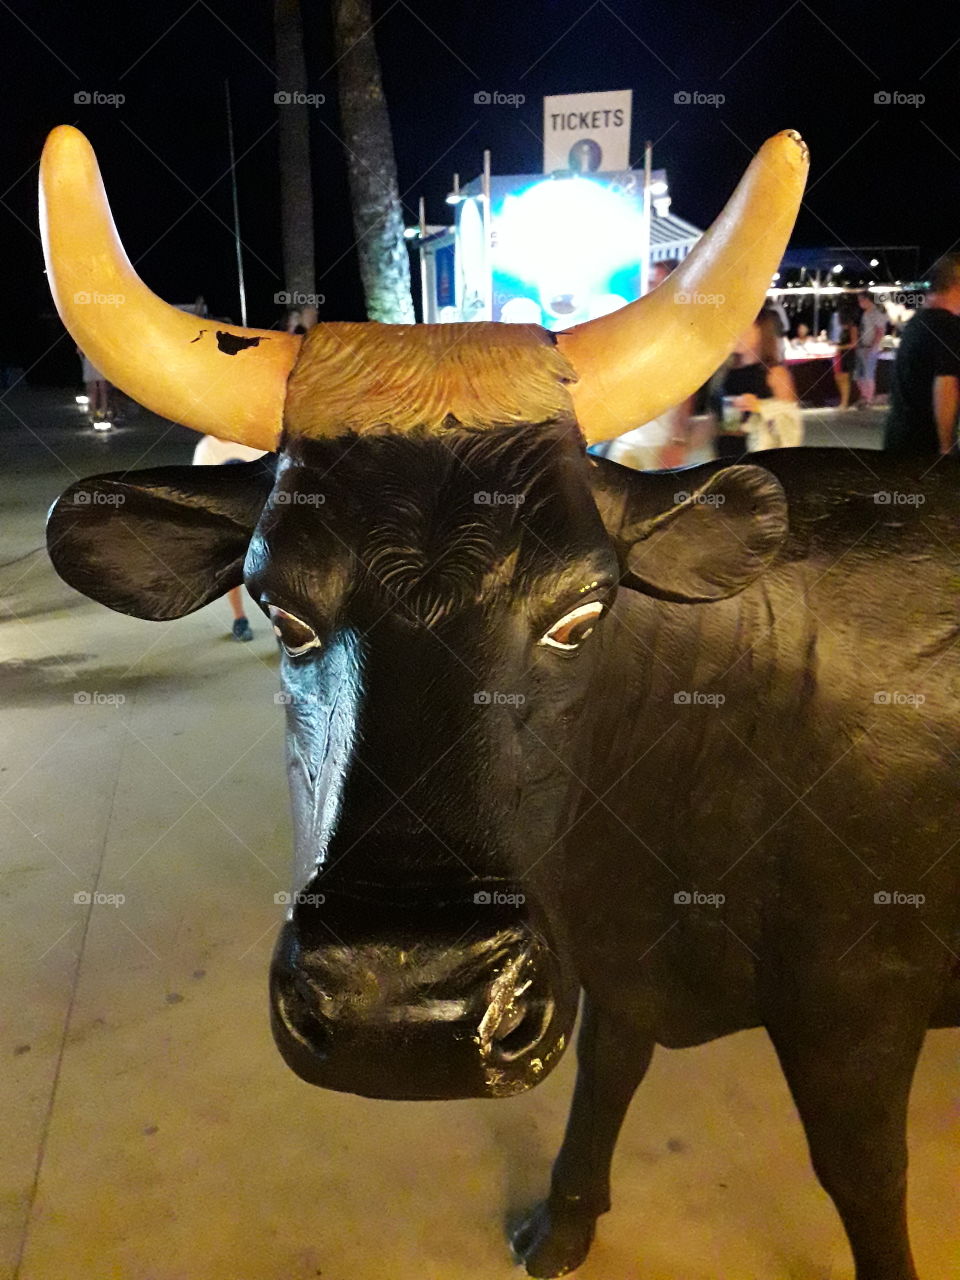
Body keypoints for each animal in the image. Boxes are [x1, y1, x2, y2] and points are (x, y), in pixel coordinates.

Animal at [39, 124, 958, 1280]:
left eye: (583, 611)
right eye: (283, 611)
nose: (402, 1008)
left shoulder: (859, 1007)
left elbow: (863, 1179)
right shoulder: (617, 963)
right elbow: (609, 1066)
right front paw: (562, 1222)